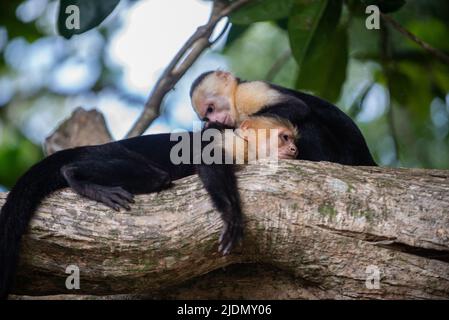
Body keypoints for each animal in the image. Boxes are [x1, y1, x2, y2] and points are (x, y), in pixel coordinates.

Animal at [0, 114, 298, 298]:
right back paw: (76, 176)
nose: (295, 150)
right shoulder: (226, 142)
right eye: (284, 138)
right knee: (155, 176)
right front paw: (231, 215)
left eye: (294, 139)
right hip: (107, 154)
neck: (246, 149)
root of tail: (90, 148)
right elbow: (206, 161)